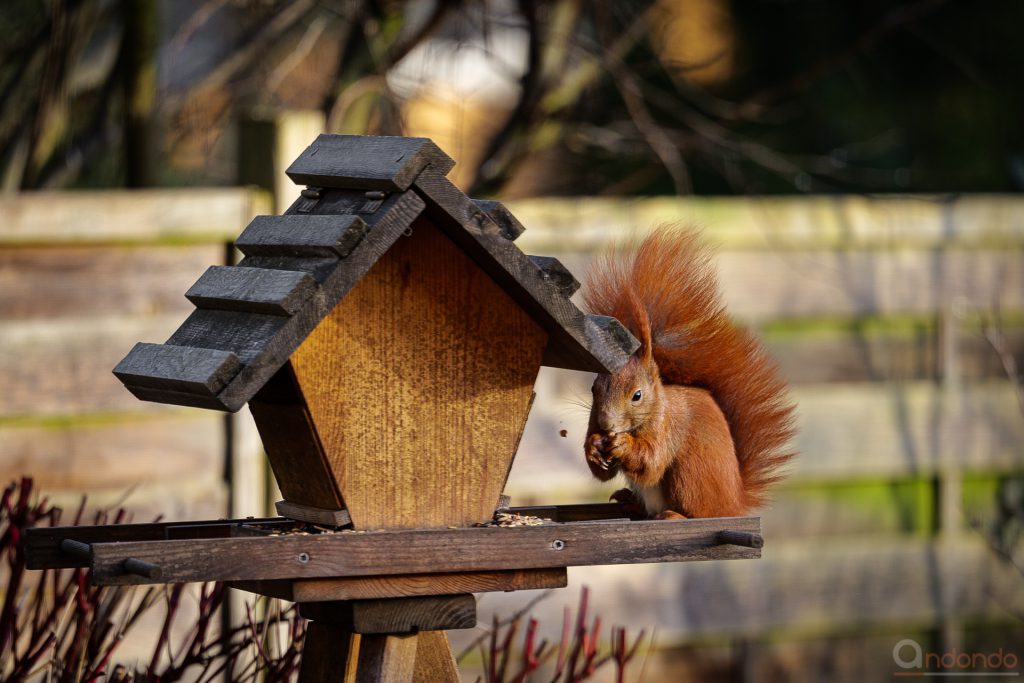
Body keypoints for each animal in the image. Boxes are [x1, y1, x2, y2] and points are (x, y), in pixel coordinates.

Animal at [585, 225, 790, 518]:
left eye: (637, 395)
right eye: (594, 388)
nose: (607, 424)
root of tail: (733, 504)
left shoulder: (668, 428)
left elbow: (651, 463)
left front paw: (623, 445)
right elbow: (601, 472)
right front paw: (593, 446)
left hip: (690, 475)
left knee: (695, 509)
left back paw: (674, 514)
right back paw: (629, 500)